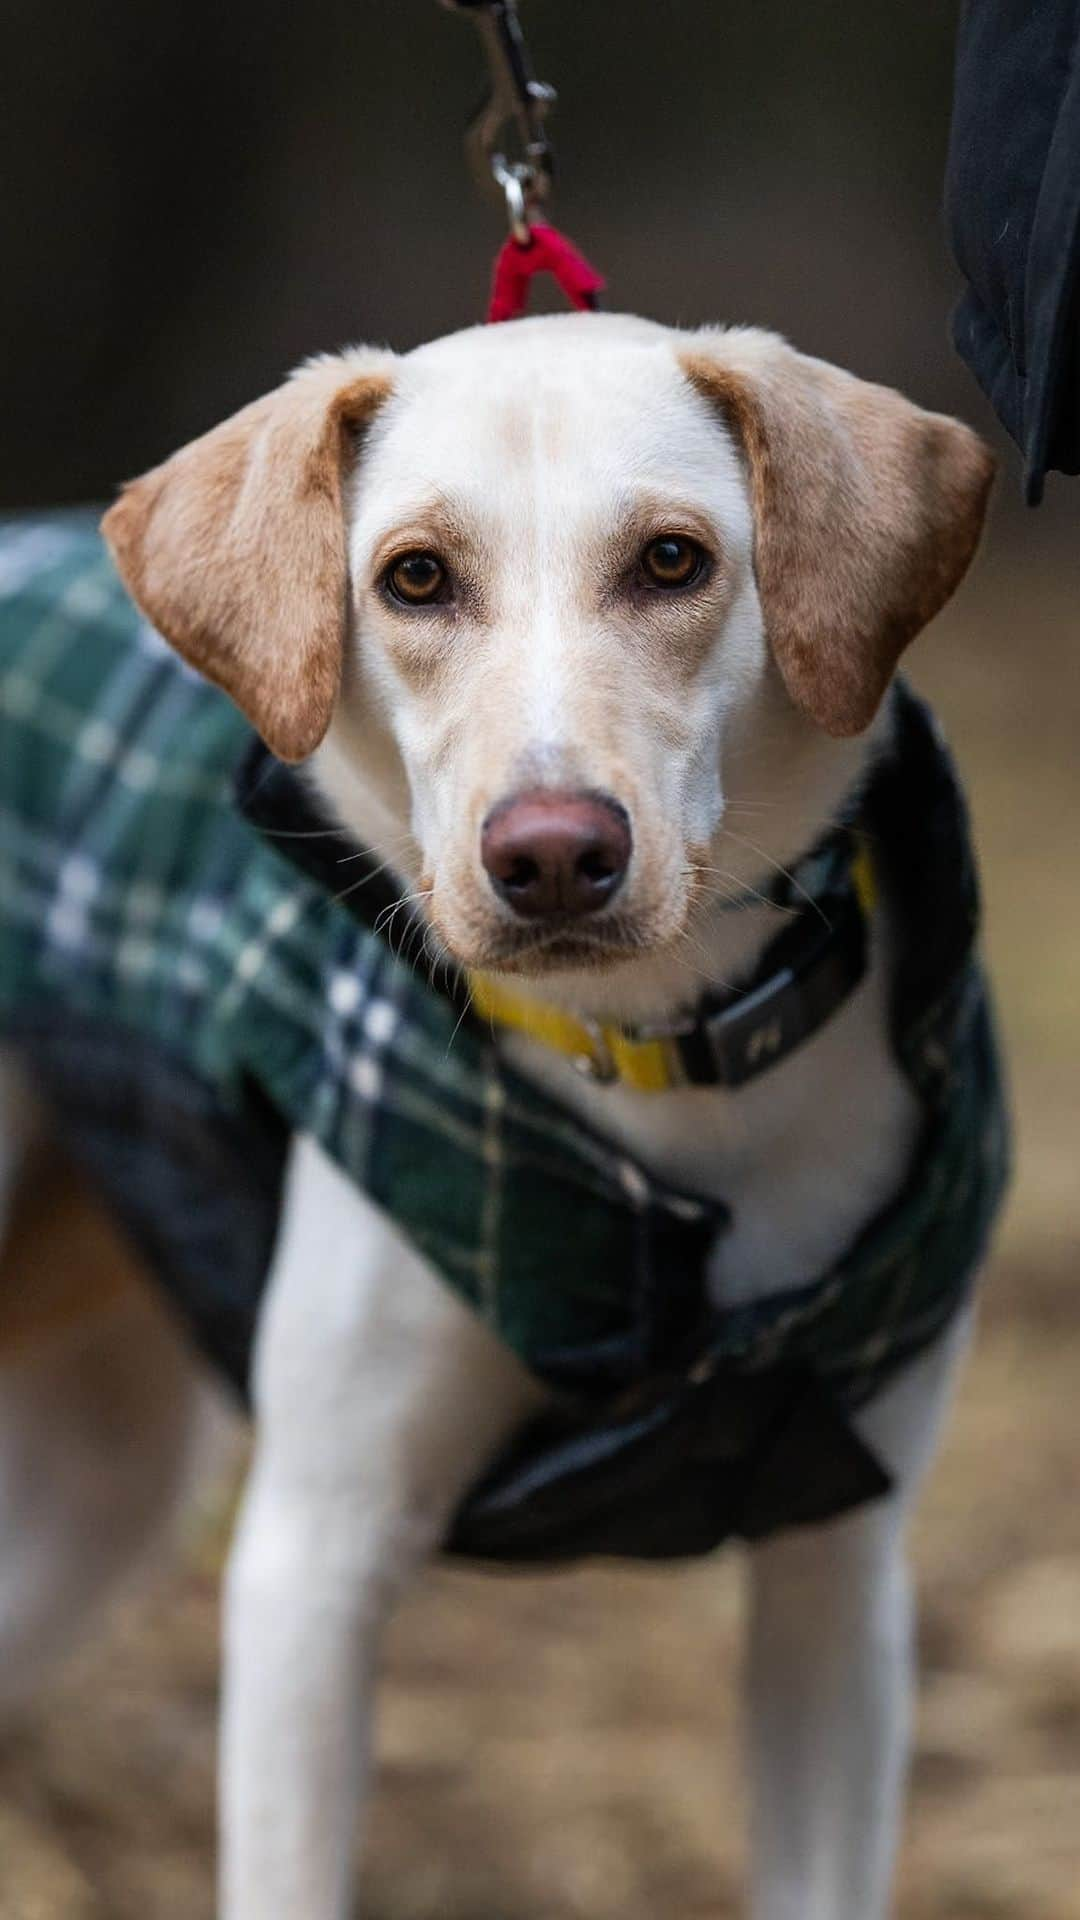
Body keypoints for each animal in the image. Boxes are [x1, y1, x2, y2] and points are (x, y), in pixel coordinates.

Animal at [0, 307, 999, 1912]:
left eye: (673, 560)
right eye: (415, 576)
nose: (551, 857)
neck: (651, 1069)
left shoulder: (836, 1563)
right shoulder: (314, 1555)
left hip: (104, 1471)